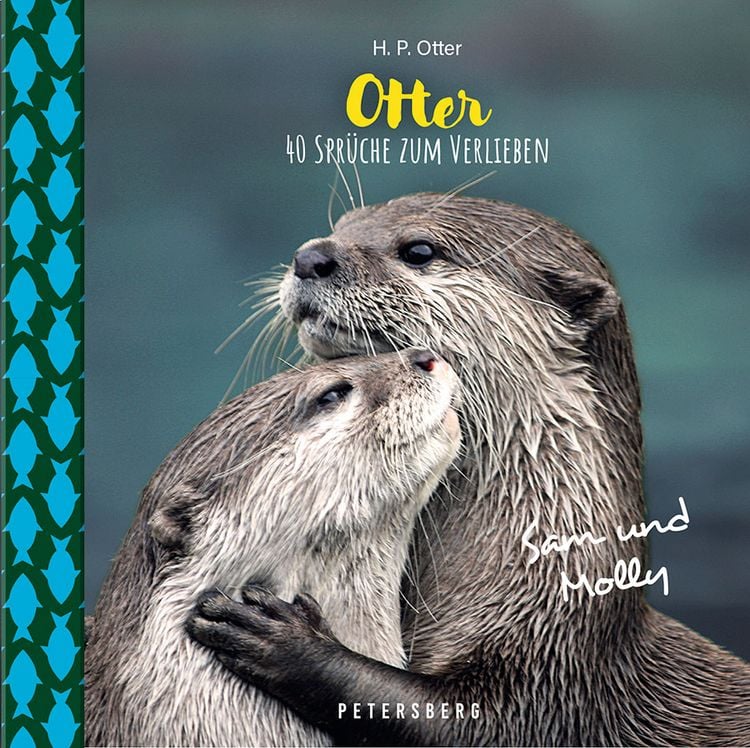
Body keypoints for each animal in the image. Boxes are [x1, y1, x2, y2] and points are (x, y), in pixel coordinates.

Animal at [188, 194, 750, 746]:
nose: (310, 256)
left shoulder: (551, 668)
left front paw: (287, 642)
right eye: (345, 225)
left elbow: (465, 720)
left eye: (418, 250)